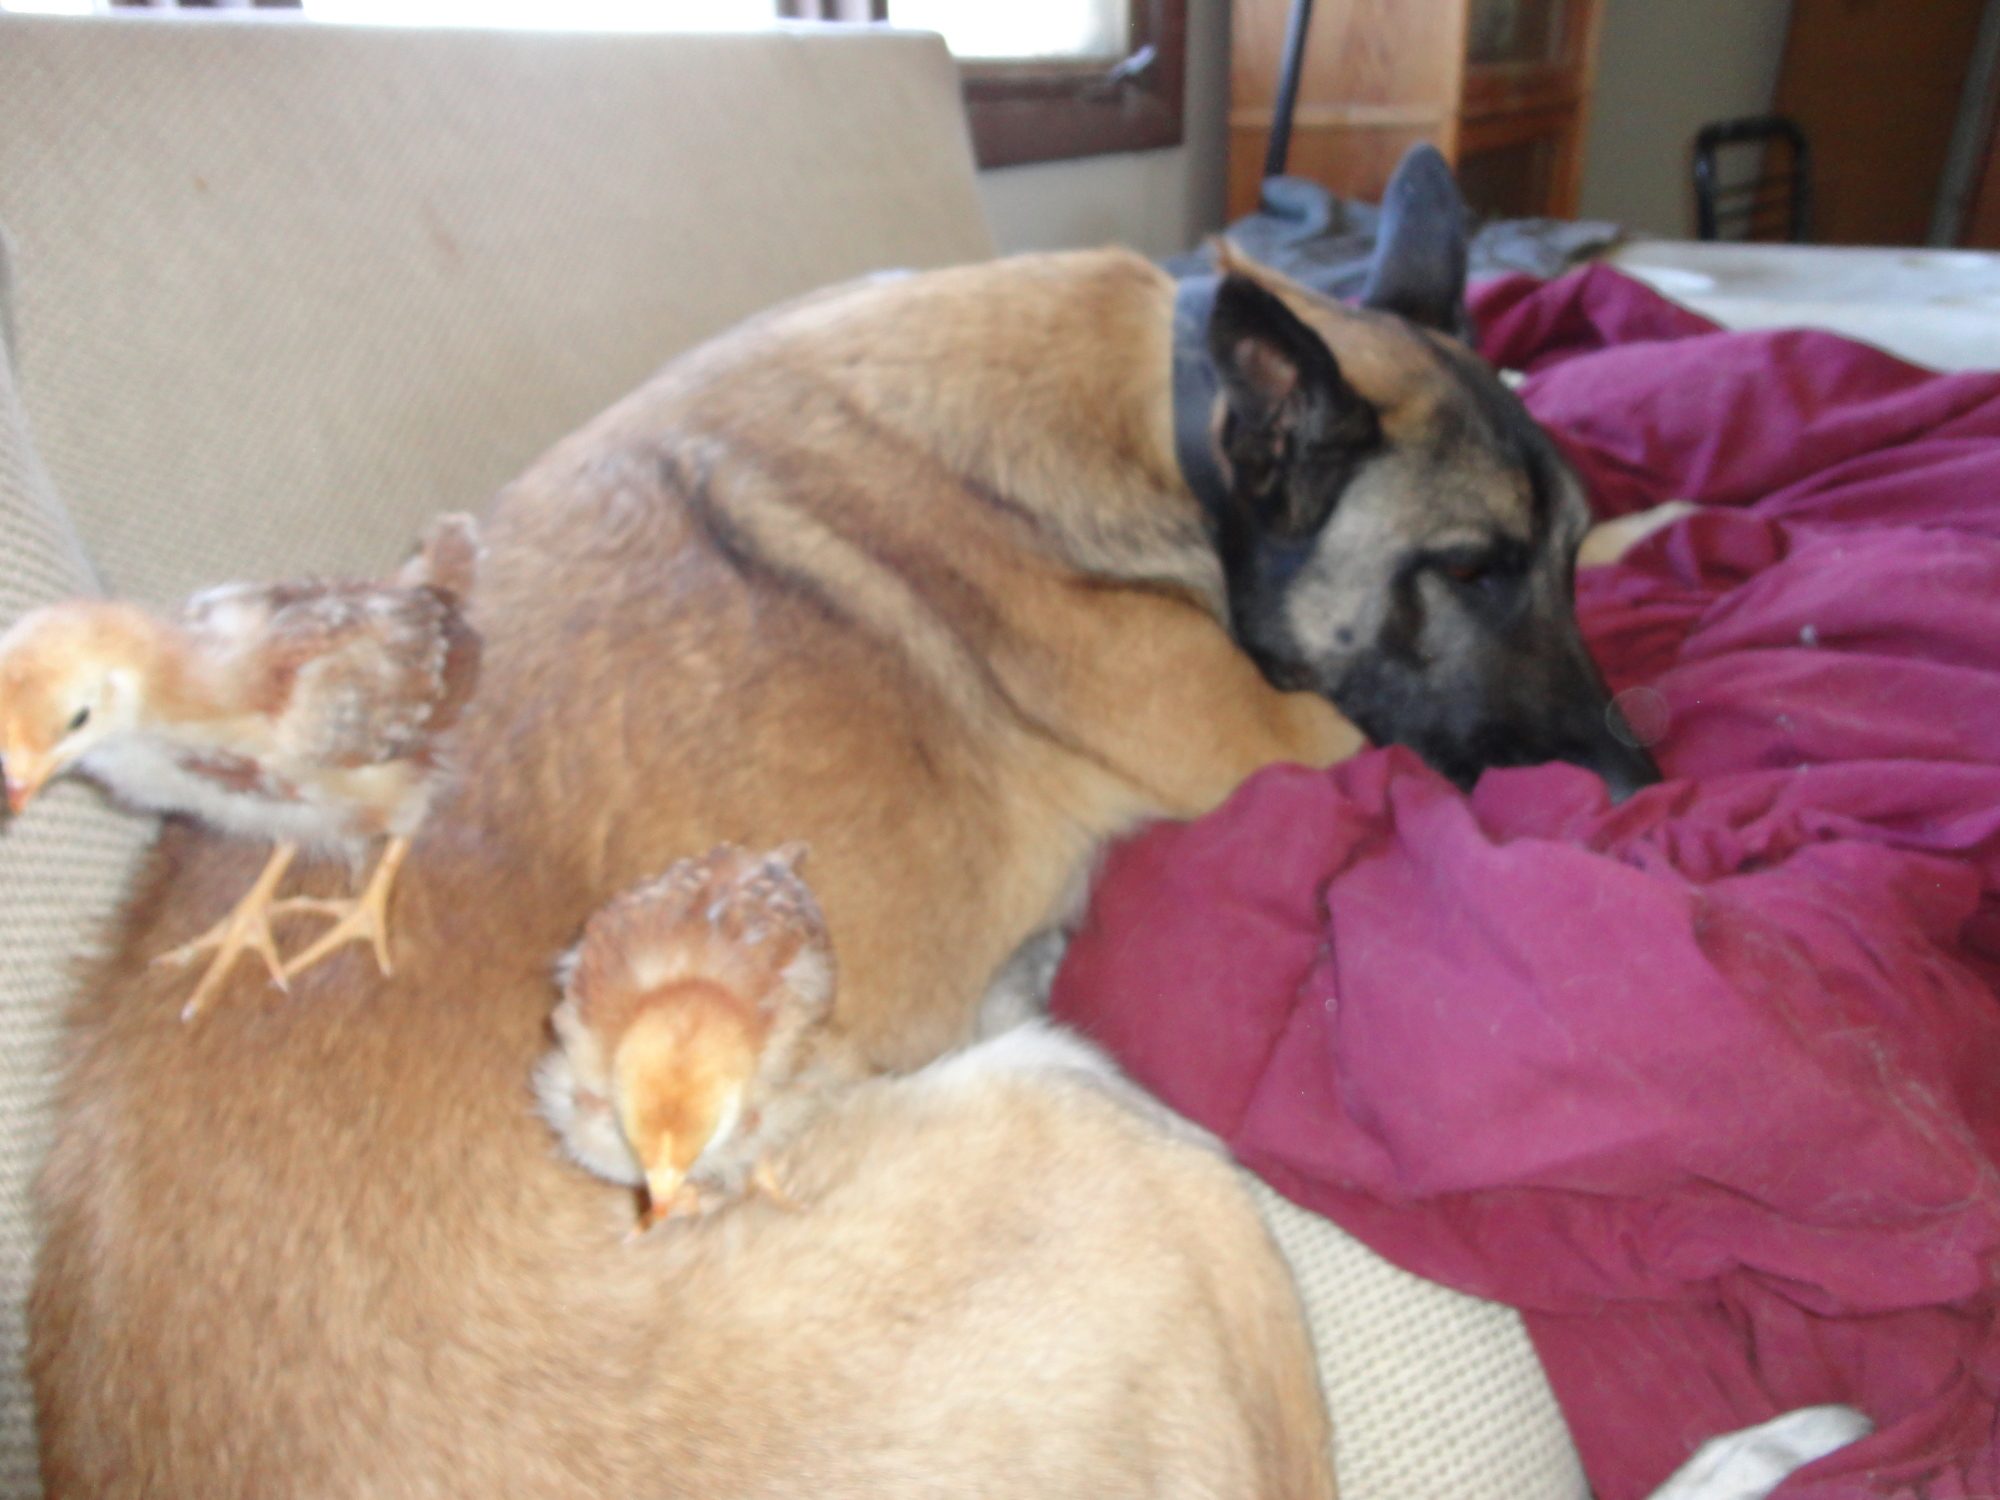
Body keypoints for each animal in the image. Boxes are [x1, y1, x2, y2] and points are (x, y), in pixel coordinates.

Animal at [34, 151, 1651, 1495]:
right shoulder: (1284, 736)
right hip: (1107, 1148)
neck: (1160, 423)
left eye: (1556, 555)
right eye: (1469, 570)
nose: (1636, 782)